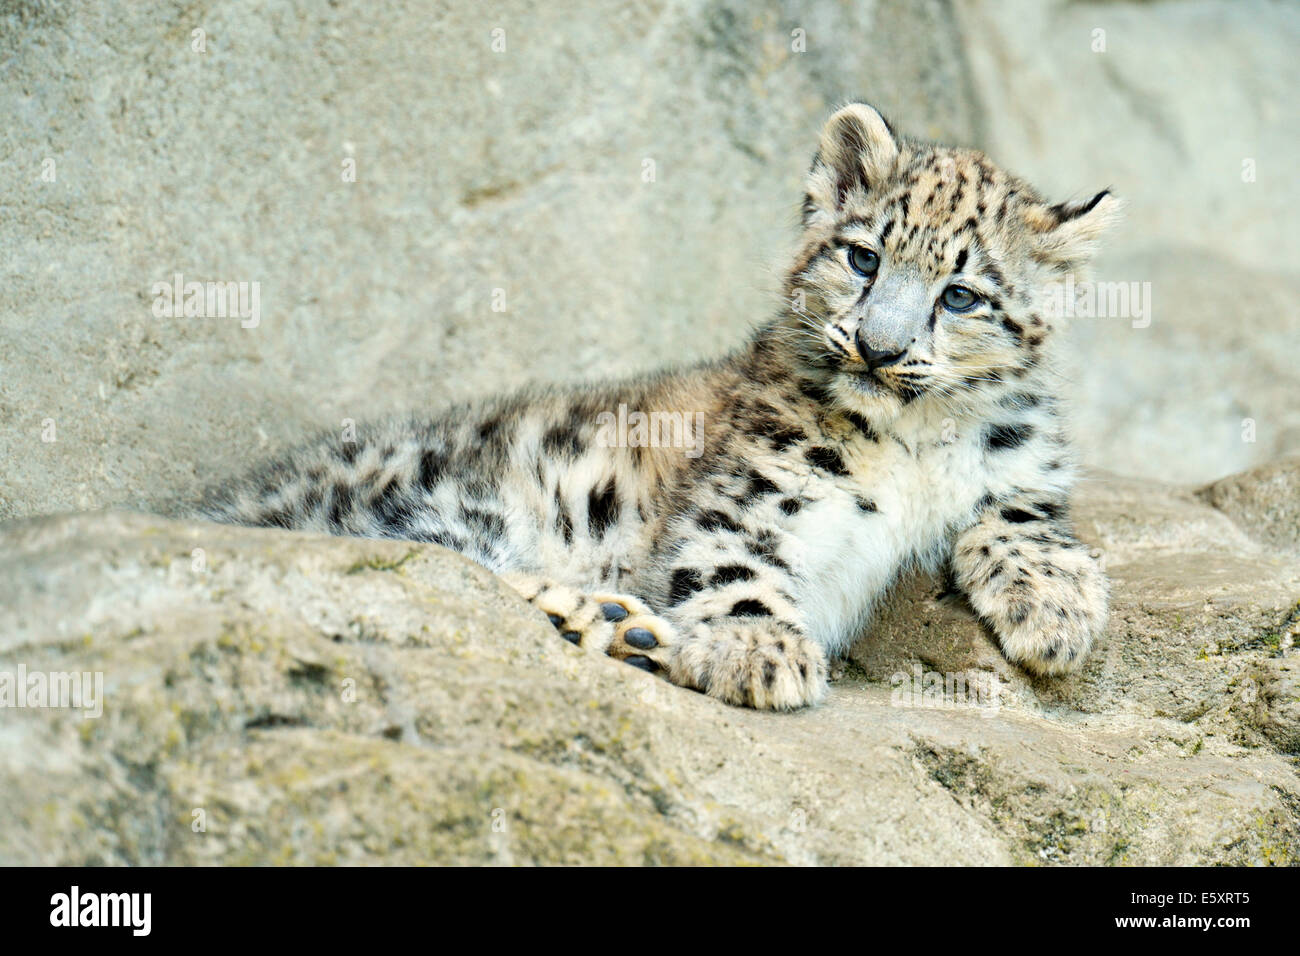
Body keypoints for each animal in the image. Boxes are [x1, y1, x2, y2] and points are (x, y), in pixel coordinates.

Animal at [198, 102, 1117, 711]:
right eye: (863, 257)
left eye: (959, 295)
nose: (878, 347)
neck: (914, 442)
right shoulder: (755, 493)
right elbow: (731, 560)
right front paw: (760, 649)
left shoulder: (1023, 468)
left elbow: (1023, 518)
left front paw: (1058, 614)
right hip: (442, 503)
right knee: (436, 572)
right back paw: (607, 619)